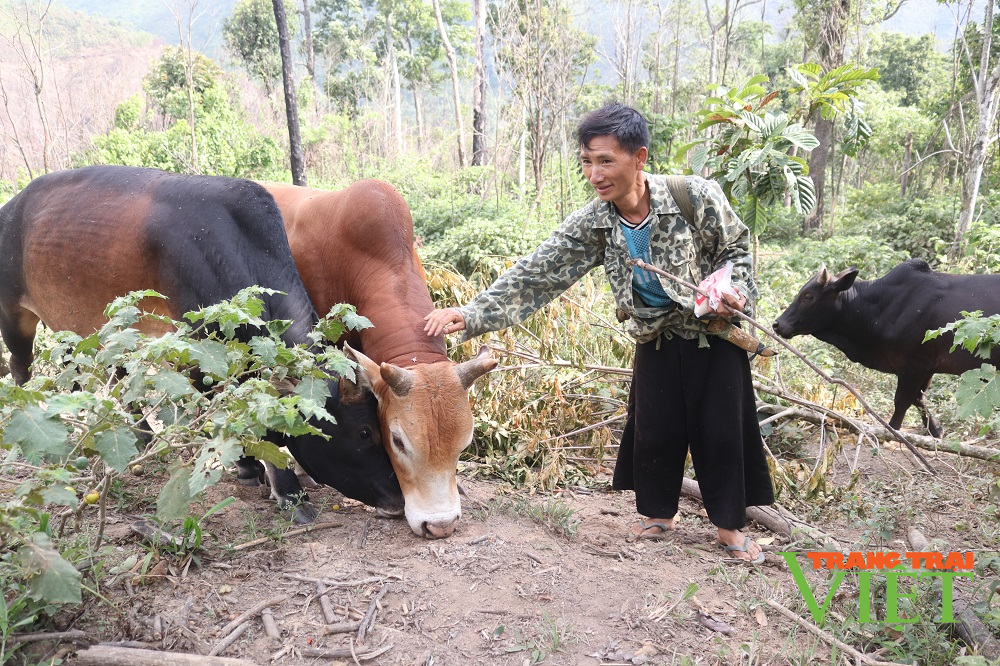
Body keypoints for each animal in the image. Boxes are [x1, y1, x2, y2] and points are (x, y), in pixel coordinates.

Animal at [0, 163, 406, 516]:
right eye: (364, 432)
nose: (399, 497)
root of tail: (12, 206)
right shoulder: (198, 351)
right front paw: (286, 490)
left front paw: (250, 469)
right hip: (14, 314)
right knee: (21, 368)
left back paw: (133, 434)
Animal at [772, 258, 1000, 436]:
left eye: (808, 297)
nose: (777, 324)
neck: (881, 308)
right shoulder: (926, 367)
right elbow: (919, 399)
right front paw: (936, 431)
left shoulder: (913, 366)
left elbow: (902, 402)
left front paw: (893, 434)